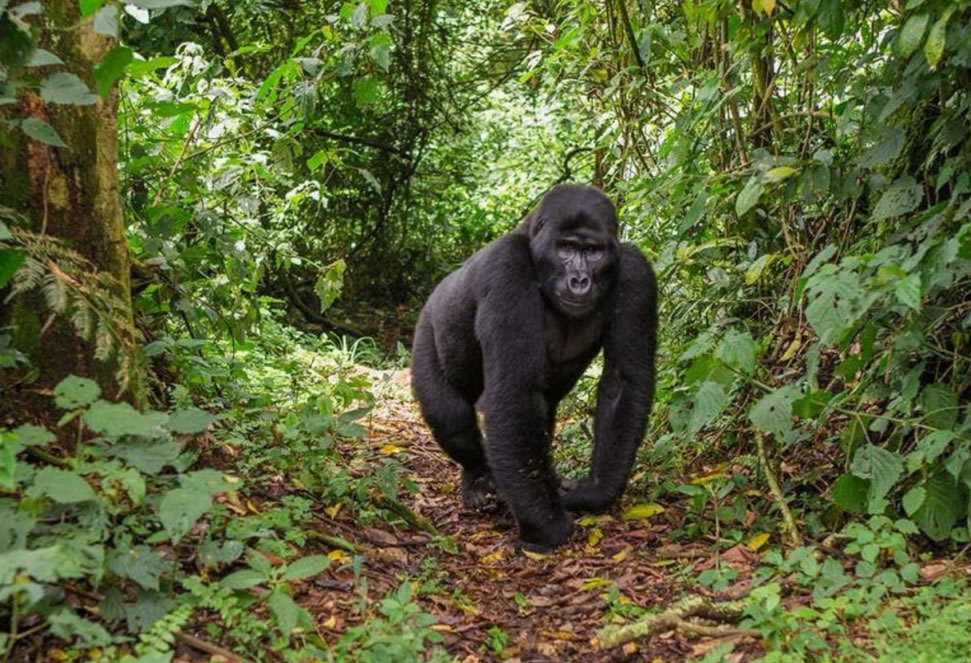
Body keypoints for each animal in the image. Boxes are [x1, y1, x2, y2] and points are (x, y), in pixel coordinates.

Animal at [410, 184, 660, 552]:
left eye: (593, 251)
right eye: (566, 248)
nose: (579, 280)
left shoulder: (635, 272)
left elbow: (623, 383)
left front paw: (594, 491)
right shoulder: (506, 268)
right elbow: (513, 392)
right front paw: (546, 526)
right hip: (426, 327)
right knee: (449, 414)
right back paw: (477, 477)